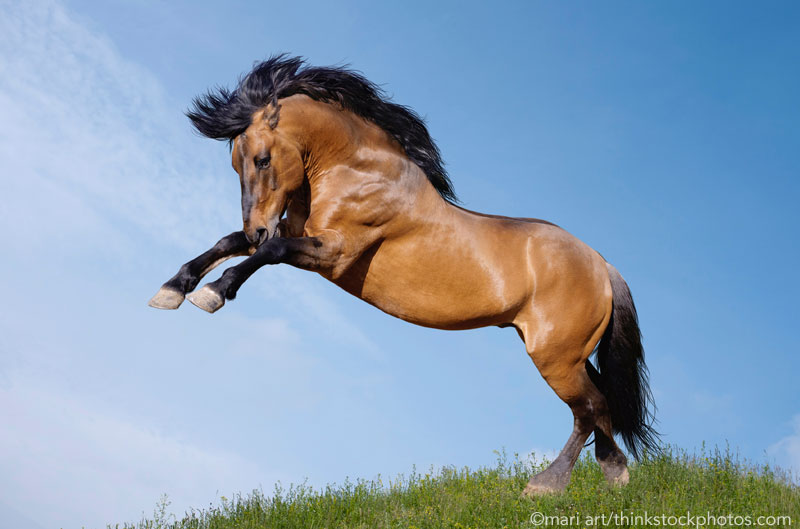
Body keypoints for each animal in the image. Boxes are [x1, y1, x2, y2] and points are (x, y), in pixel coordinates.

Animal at [148, 55, 658, 495]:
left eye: (262, 160)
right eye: (236, 163)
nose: (258, 224)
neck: (354, 170)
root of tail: (601, 263)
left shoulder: (333, 252)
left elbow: (265, 252)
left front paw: (214, 293)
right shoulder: (294, 232)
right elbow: (229, 243)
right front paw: (172, 290)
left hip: (555, 357)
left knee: (588, 409)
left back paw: (547, 486)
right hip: (569, 353)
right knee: (601, 405)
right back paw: (615, 476)